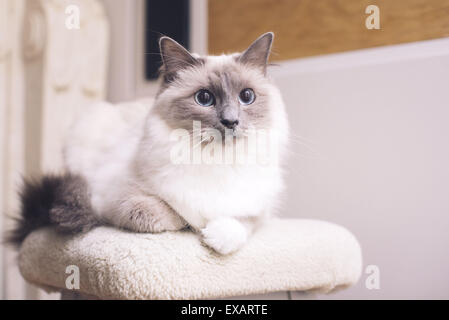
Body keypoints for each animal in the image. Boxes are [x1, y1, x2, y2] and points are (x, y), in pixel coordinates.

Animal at [8, 32, 288, 255]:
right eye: (204, 98)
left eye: (247, 96)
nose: (231, 121)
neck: (214, 159)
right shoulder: (112, 199)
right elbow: (171, 214)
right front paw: (196, 227)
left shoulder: (261, 209)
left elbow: (244, 221)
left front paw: (217, 237)